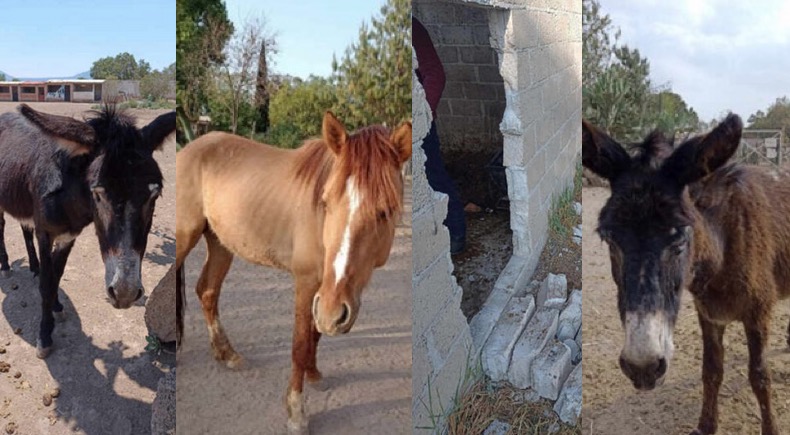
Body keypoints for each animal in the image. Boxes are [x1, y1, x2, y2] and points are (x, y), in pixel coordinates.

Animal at [176, 111, 414, 432]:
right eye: (325, 202)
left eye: (385, 211)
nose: (335, 314)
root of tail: (191, 149)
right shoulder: (308, 283)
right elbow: (300, 342)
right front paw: (296, 412)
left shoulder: (326, 292)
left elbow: (316, 333)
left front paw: (314, 374)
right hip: (186, 237)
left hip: (220, 243)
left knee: (207, 291)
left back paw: (227, 354)